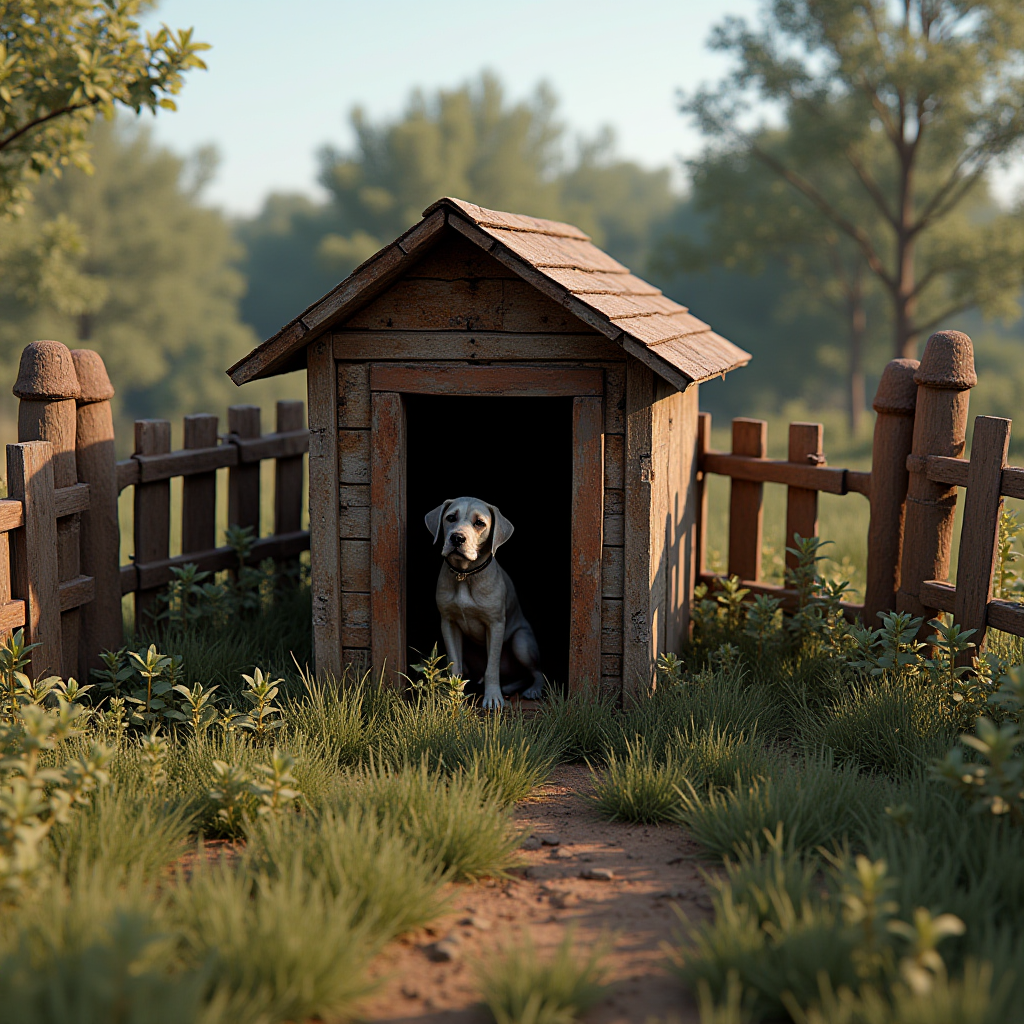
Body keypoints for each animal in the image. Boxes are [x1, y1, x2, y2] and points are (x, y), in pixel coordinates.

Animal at [421, 497, 544, 712]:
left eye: (480, 523)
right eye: (450, 518)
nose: (457, 538)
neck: (465, 575)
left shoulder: (495, 624)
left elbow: (492, 667)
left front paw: (493, 698)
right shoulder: (448, 623)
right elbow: (455, 666)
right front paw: (455, 698)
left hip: (521, 642)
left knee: (536, 672)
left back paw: (532, 690)